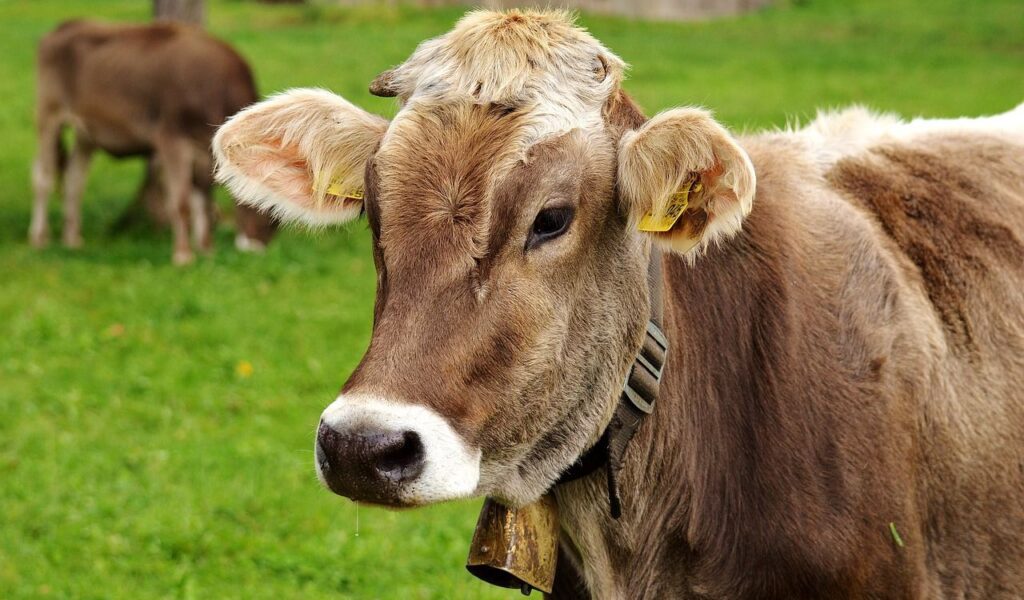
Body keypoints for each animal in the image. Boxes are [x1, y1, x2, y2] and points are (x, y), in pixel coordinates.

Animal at [30, 20, 277, 265]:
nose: (258, 247)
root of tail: (66, 25)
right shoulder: (171, 139)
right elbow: (181, 201)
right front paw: (183, 254)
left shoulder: (203, 152)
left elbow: (203, 201)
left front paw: (206, 250)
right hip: (49, 115)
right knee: (44, 176)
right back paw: (39, 238)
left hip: (86, 133)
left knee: (74, 179)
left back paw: (72, 239)